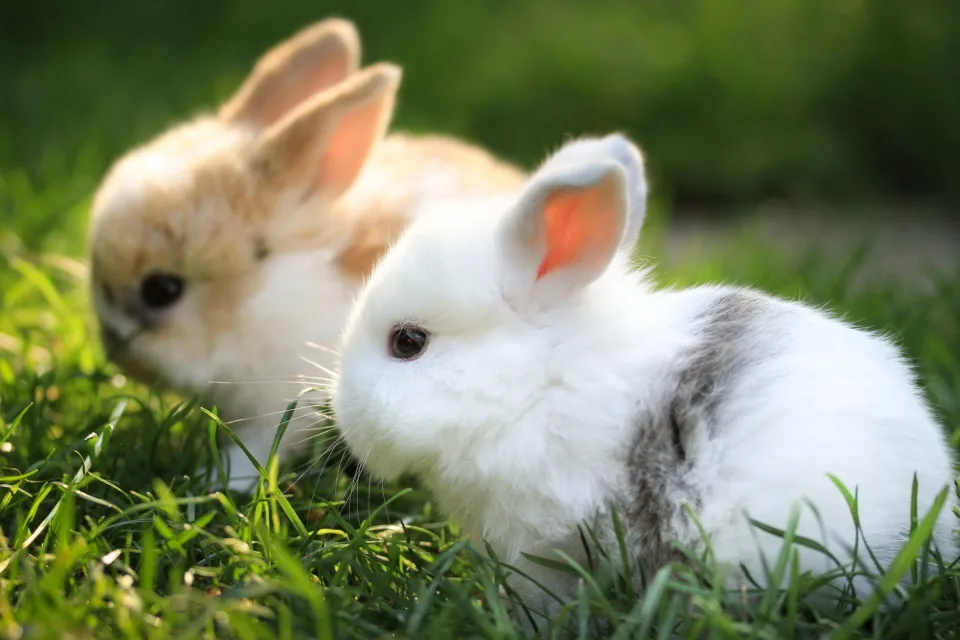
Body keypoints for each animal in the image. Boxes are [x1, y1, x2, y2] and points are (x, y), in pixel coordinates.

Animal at [88, 18, 526, 491]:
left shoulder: (284, 402)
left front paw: (215, 482)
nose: (117, 354)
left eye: (162, 290)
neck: (263, 294)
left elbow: (259, 446)